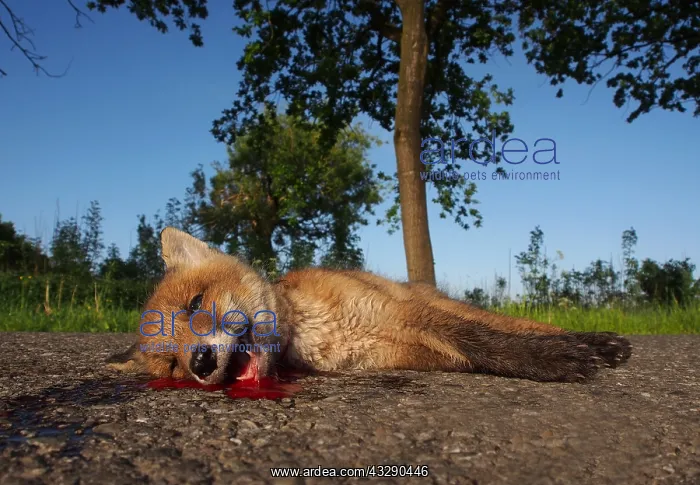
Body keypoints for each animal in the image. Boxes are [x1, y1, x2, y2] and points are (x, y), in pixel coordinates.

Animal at [107, 227, 632, 384]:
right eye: (172, 366)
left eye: (196, 303)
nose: (198, 363)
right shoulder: (410, 351)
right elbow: (480, 352)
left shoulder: (407, 315)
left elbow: (491, 343)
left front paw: (557, 361)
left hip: (426, 302)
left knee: (521, 325)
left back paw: (597, 344)